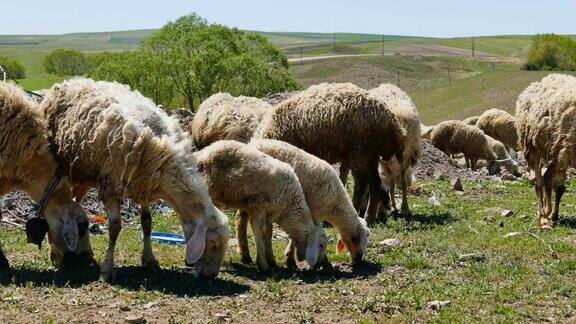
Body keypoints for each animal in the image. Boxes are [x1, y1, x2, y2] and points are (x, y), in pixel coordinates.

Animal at [194, 140, 326, 270]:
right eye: (321, 245)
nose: (321, 265)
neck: (289, 207)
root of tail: (204, 151)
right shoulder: (259, 207)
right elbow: (260, 233)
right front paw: (263, 264)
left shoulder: (269, 214)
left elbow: (268, 236)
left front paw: (271, 260)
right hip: (210, 191)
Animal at [245, 137, 372, 266]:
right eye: (356, 238)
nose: (359, 258)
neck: (335, 202)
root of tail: (252, 142)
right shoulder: (311, 209)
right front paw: (295, 256)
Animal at [256, 82, 404, 224]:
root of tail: (390, 120)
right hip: (369, 154)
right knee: (375, 181)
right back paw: (369, 216)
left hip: (361, 151)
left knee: (361, 183)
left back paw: (358, 210)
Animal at [516, 73, 576, 228]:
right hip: (534, 145)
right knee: (540, 181)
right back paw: (543, 214)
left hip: (560, 151)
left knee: (551, 180)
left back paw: (552, 215)